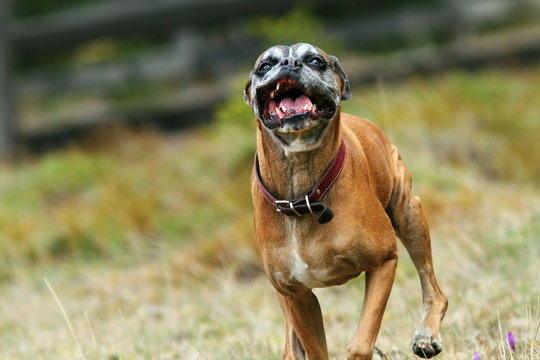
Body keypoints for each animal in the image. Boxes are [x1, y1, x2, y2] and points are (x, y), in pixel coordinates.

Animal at [245, 43, 448, 358]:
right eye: (265, 65)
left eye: (316, 60)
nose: (290, 63)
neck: (302, 196)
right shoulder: (297, 296)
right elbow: (314, 348)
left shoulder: (383, 262)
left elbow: (362, 341)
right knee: (291, 342)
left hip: (409, 214)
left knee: (433, 288)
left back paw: (427, 335)